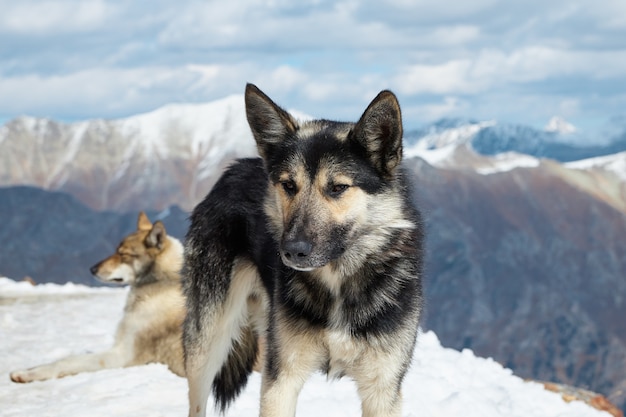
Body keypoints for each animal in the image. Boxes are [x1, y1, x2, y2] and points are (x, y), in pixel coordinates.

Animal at [183, 84, 422, 416]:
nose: (292, 250)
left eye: (338, 188)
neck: (337, 283)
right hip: (207, 342)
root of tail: (233, 169)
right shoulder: (281, 380)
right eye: (288, 185)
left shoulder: (383, 391)